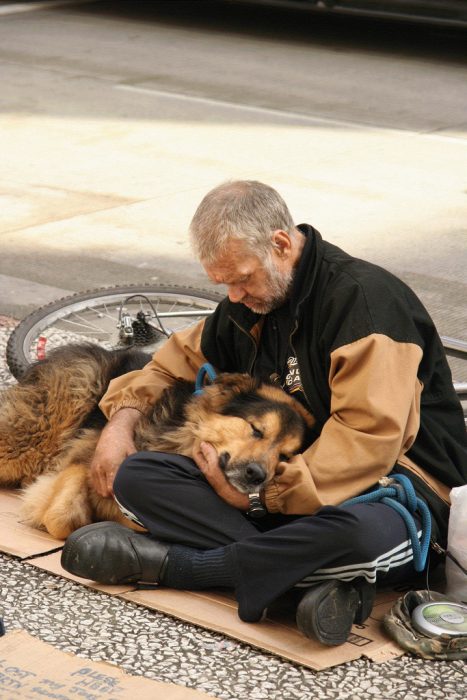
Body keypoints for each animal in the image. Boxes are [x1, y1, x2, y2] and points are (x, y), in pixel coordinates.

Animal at [0, 344, 314, 536]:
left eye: (285, 456)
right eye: (256, 430)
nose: (257, 475)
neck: (184, 437)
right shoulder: (93, 457)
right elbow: (62, 514)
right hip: (35, 436)